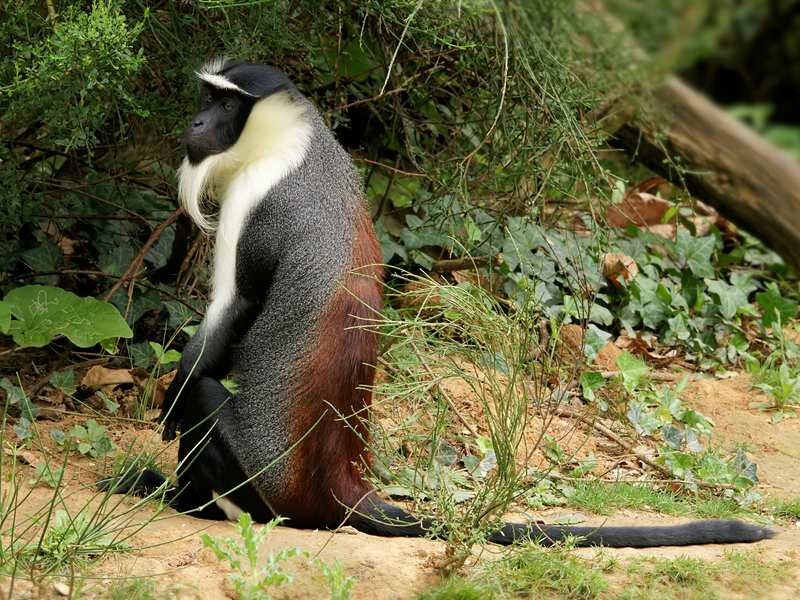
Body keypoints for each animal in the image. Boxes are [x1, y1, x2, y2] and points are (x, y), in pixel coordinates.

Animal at [109, 62, 772, 548]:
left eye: (227, 106)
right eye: (206, 96)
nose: (198, 121)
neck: (294, 144)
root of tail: (335, 488)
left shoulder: (254, 202)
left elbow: (234, 311)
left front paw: (168, 405)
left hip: (257, 482)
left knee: (207, 400)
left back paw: (180, 499)